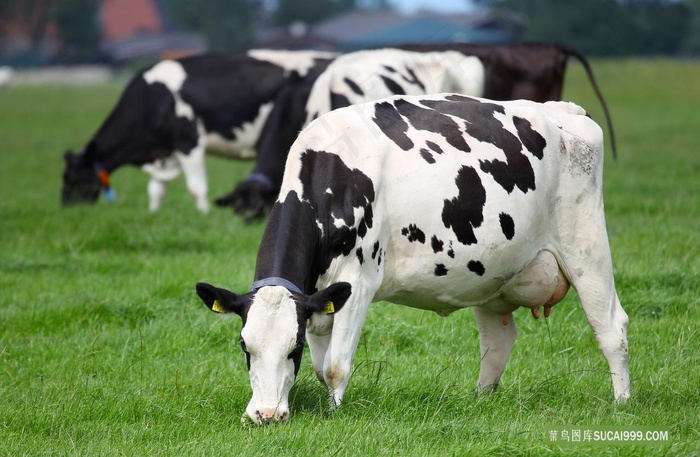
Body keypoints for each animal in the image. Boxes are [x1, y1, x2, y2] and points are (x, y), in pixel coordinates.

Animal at [60, 49, 334, 213]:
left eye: (70, 177)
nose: (65, 208)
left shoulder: (188, 141)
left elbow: (196, 188)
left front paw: (204, 216)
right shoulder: (164, 153)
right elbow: (156, 191)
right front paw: (154, 214)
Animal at [194, 92, 632, 424]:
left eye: (293, 347)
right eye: (244, 345)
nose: (266, 415)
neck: (332, 177)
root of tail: (565, 110)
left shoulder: (358, 282)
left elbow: (336, 366)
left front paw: (334, 416)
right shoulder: (319, 298)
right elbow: (321, 368)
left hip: (586, 243)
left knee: (611, 327)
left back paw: (621, 403)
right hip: (495, 273)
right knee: (498, 342)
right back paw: (481, 400)